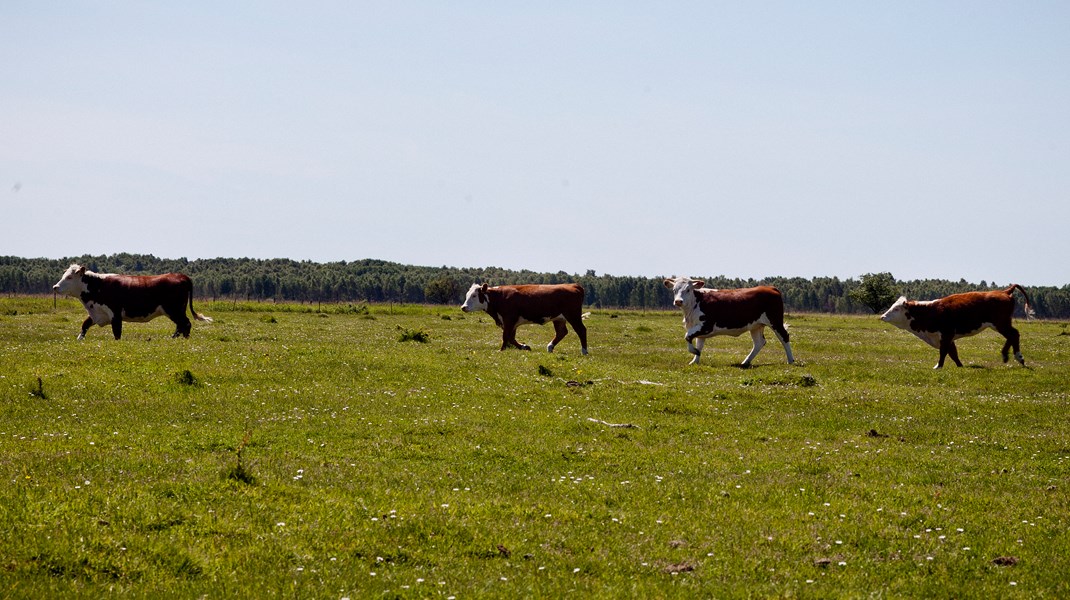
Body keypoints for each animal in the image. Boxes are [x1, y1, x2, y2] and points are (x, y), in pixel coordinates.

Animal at [52, 263, 212, 340]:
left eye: (69, 277)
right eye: (64, 275)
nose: (55, 287)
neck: (98, 286)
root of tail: (181, 275)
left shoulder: (115, 314)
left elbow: (117, 332)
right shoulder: (98, 312)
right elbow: (85, 325)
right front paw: (79, 339)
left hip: (174, 309)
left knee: (185, 323)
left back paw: (183, 339)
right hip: (175, 310)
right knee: (181, 325)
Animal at [460, 282, 590, 355]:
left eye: (474, 295)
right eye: (467, 295)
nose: (463, 307)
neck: (499, 297)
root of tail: (573, 285)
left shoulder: (509, 319)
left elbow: (505, 336)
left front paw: (501, 350)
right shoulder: (512, 323)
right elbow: (511, 338)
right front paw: (524, 347)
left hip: (573, 315)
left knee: (581, 330)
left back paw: (584, 351)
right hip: (559, 318)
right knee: (562, 332)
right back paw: (550, 347)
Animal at [663, 275, 791, 365]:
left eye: (688, 289)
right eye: (674, 290)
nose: (678, 301)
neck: (696, 302)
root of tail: (770, 287)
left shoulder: (706, 326)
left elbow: (687, 336)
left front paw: (694, 352)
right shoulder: (697, 327)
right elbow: (699, 344)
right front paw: (695, 361)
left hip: (775, 321)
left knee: (784, 337)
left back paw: (790, 360)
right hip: (756, 325)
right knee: (759, 343)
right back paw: (745, 362)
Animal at [877, 284, 1035, 367]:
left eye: (896, 309)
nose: (882, 316)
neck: (931, 311)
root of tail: (1004, 291)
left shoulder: (946, 334)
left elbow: (944, 352)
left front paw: (938, 366)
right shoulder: (947, 338)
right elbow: (953, 353)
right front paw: (960, 366)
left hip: (1000, 323)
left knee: (1014, 334)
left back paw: (1018, 357)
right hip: (1001, 324)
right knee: (1012, 336)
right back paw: (1006, 355)